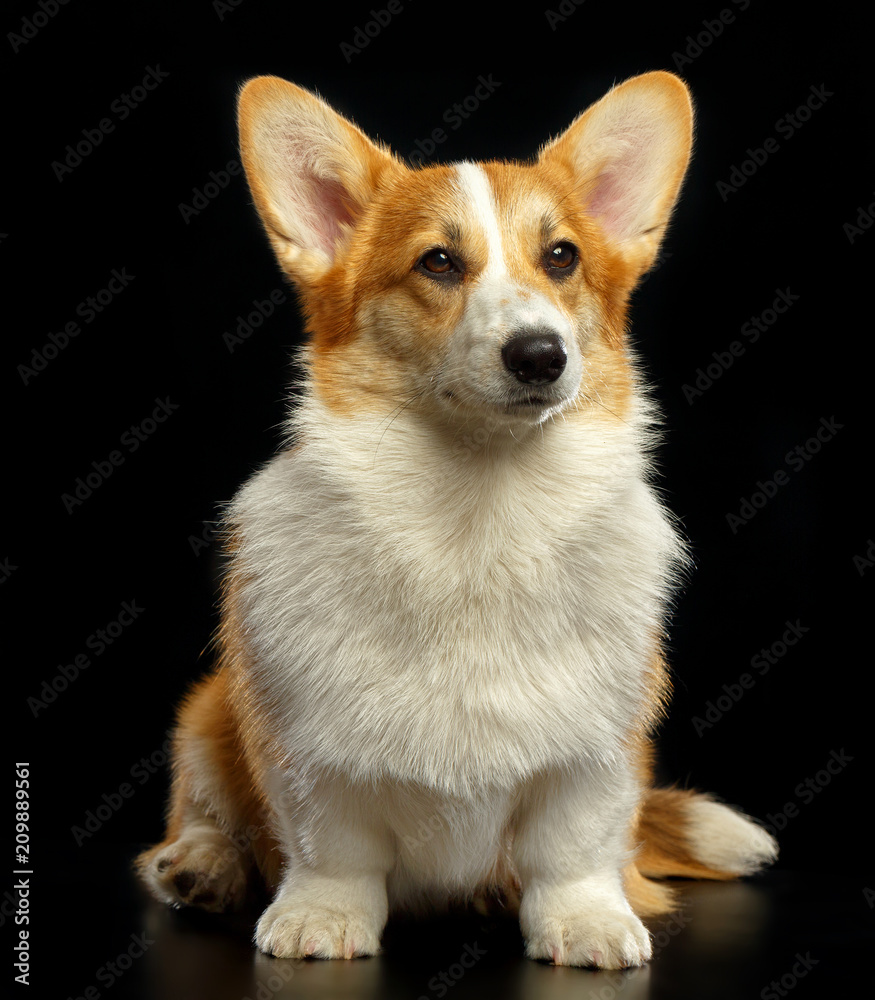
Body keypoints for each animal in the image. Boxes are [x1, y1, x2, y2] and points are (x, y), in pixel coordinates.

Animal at [139, 72, 780, 968]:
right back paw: (201, 866)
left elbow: (573, 844)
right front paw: (320, 917)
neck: (479, 510)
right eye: (437, 262)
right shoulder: (306, 743)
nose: (540, 355)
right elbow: (331, 845)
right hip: (204, 710)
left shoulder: (599, 746)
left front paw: (585, 920)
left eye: (561, 257)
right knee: (197, 814)